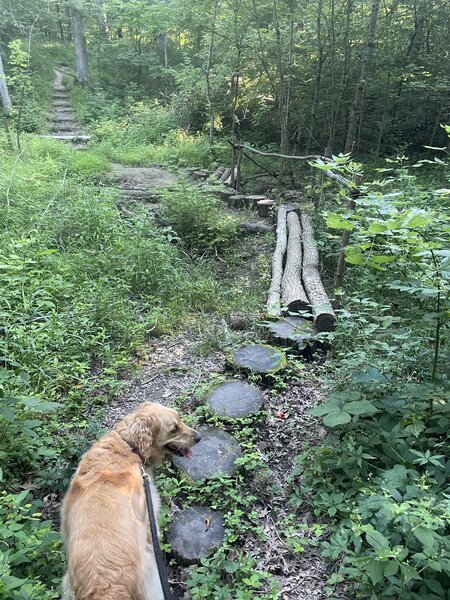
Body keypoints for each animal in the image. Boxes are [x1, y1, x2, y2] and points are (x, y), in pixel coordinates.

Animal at [61, 400, 200, 596]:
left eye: (180, 419)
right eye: (174, 429)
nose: (199, 437)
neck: (128, 445)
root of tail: (103, 584)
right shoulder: (149, 518)